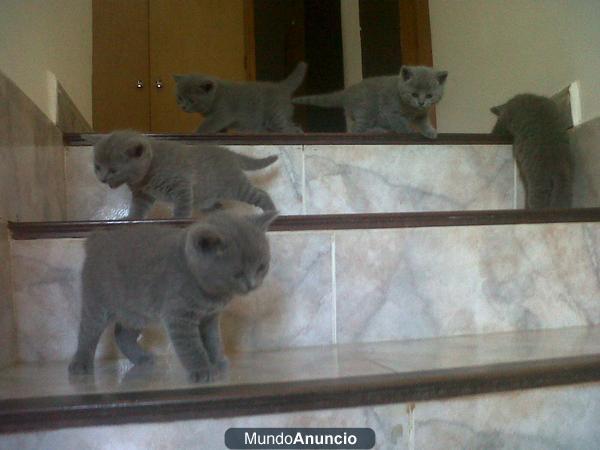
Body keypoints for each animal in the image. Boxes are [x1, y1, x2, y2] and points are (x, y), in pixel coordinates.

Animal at [69, 209, 278, 382]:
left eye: (261, 267)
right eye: (238, 273)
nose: (252, 284)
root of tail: (98, 238)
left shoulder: (209, 318)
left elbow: (213, 341)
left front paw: (218, 362)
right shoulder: (179, 316)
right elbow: (191, 346)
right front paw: (202, 370)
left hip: (138, 310)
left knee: (122, 333)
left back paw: (142, 358)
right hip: (98, 304)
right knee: (88, 332)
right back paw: (80, 364)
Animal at [93, 129, 278, 219]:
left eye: (113, 170)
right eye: (97, 167)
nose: (102, 179)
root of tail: (230, 153)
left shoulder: (180, 184)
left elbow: (182, 206)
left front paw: (179, 219)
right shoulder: (143, 195)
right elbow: (139, 208)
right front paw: (131, 218)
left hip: (234, 186)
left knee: (260, 193)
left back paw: (272, 211)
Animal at [172, 60, 304, 133]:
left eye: (192, 100)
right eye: (179, 98)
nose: (183, 107)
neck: (216, 97)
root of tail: (280, 86)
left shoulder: (222, 113)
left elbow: (207, 125)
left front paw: (195, 132)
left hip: (275, 114)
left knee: (284, 127)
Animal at [292, 64, 448, 136]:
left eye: (429, 96)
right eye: (414, 94)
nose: (421, 102)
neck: (411, 108)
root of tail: (347, 91)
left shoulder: (421, 114)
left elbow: (424, 122)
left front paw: (430, 132)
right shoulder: (390, 111)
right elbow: (400, 123)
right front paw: (408, 131)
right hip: (367, 110)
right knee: (356, 130)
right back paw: (378, 131)